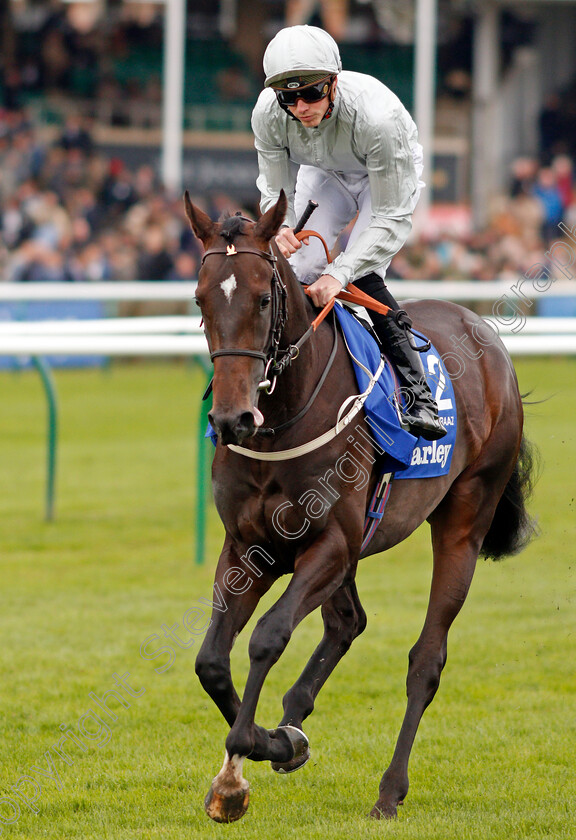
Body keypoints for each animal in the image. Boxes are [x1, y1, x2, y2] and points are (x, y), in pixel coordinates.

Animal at [183, 189, 536, 820]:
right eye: (200, 299)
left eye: (262, 297)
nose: (231, 419)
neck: (281, 424)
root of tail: (485, 334)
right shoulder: (250, 546)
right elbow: (211, 662)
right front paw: (267, 748)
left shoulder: (328, 542)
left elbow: (268, 636)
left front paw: (243, 763)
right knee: (348, 622)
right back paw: (295, 716)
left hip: (465, 517)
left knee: (426, 661)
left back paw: (390, 790)